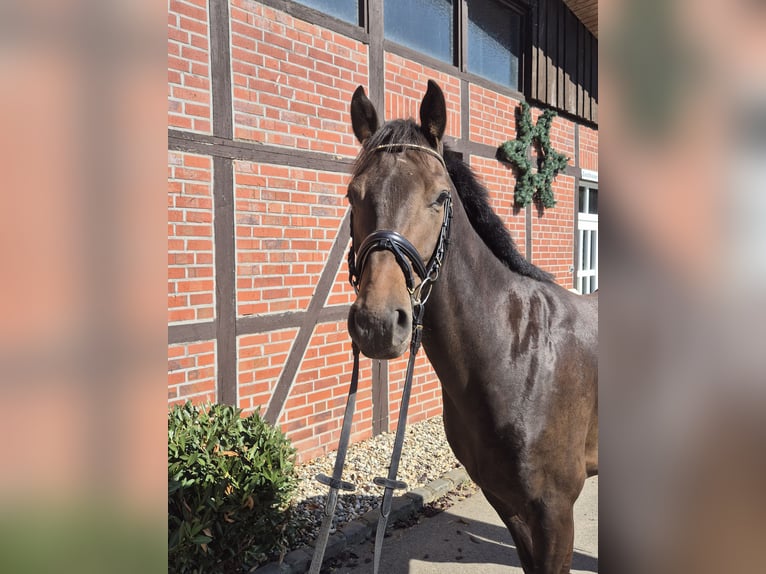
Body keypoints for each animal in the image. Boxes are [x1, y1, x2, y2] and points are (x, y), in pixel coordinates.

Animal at [346, 82, 600, 574]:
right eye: (352, 194)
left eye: (440, 196)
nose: (378, 323)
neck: (516, 353)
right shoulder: (507, 502)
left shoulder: (556, 512)